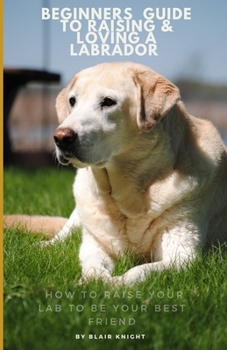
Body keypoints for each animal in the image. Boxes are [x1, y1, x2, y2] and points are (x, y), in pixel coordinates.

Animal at [5, 61, 227, 284]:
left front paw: (117, 284)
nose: (61, 137)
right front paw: (92, 282)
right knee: (63, 234)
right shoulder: (94, 245)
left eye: (108, 102)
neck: (128, 194)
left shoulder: (182, 254)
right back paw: (41, 247)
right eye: (72, 101)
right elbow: (92, 266)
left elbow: (139, 271)